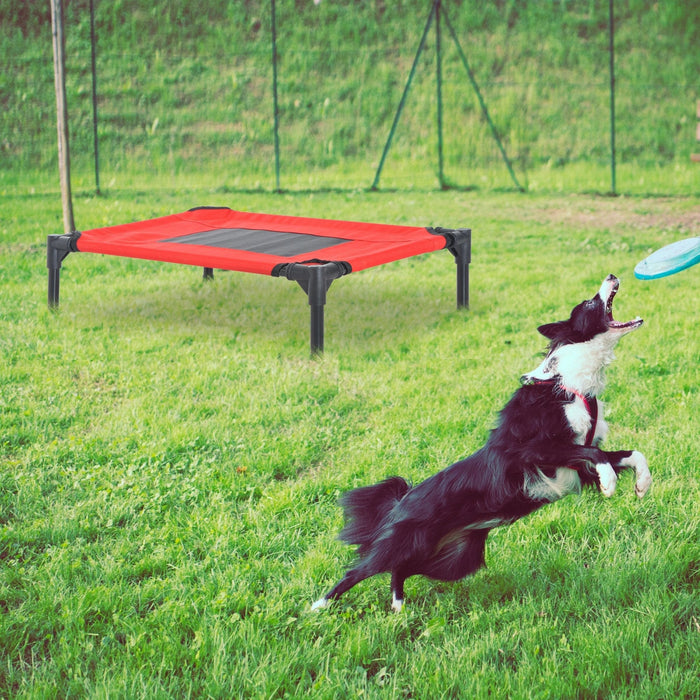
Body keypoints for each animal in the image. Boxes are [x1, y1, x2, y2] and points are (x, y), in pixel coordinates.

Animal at [312, 274, 652, 612]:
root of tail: (401, 502)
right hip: (408, 541)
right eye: (590, 303)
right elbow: (594, 452)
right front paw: (609, 483)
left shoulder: (576, 464)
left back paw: (398, 606)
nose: (611, 276)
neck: (569, 382)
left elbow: (630, 453)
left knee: (401, 568)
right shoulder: (530, 450)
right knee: (361, 569)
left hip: (455, 556)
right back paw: (320, 605)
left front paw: (642, 484)